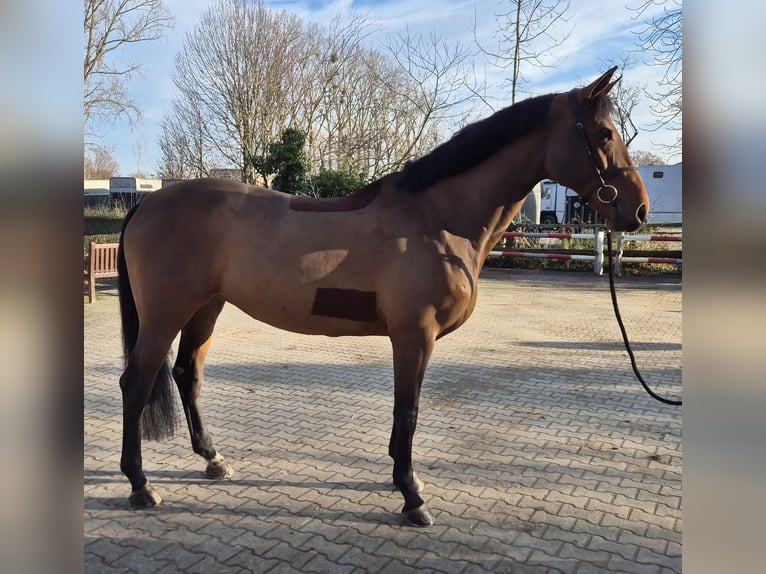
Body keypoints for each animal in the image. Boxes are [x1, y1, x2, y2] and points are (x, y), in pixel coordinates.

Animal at [116, 67, 649, 527]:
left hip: (206, 308)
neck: (437, 220)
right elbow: (407, 411)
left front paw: (401, 480)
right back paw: (140, 485)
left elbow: (404, 413)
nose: (639, 211)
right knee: (136, 384)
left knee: (188, 374)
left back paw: (213, 459)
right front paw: (412, 497)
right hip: (165, 315)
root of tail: (148, 204)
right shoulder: (415, 335)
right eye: (604, 133)